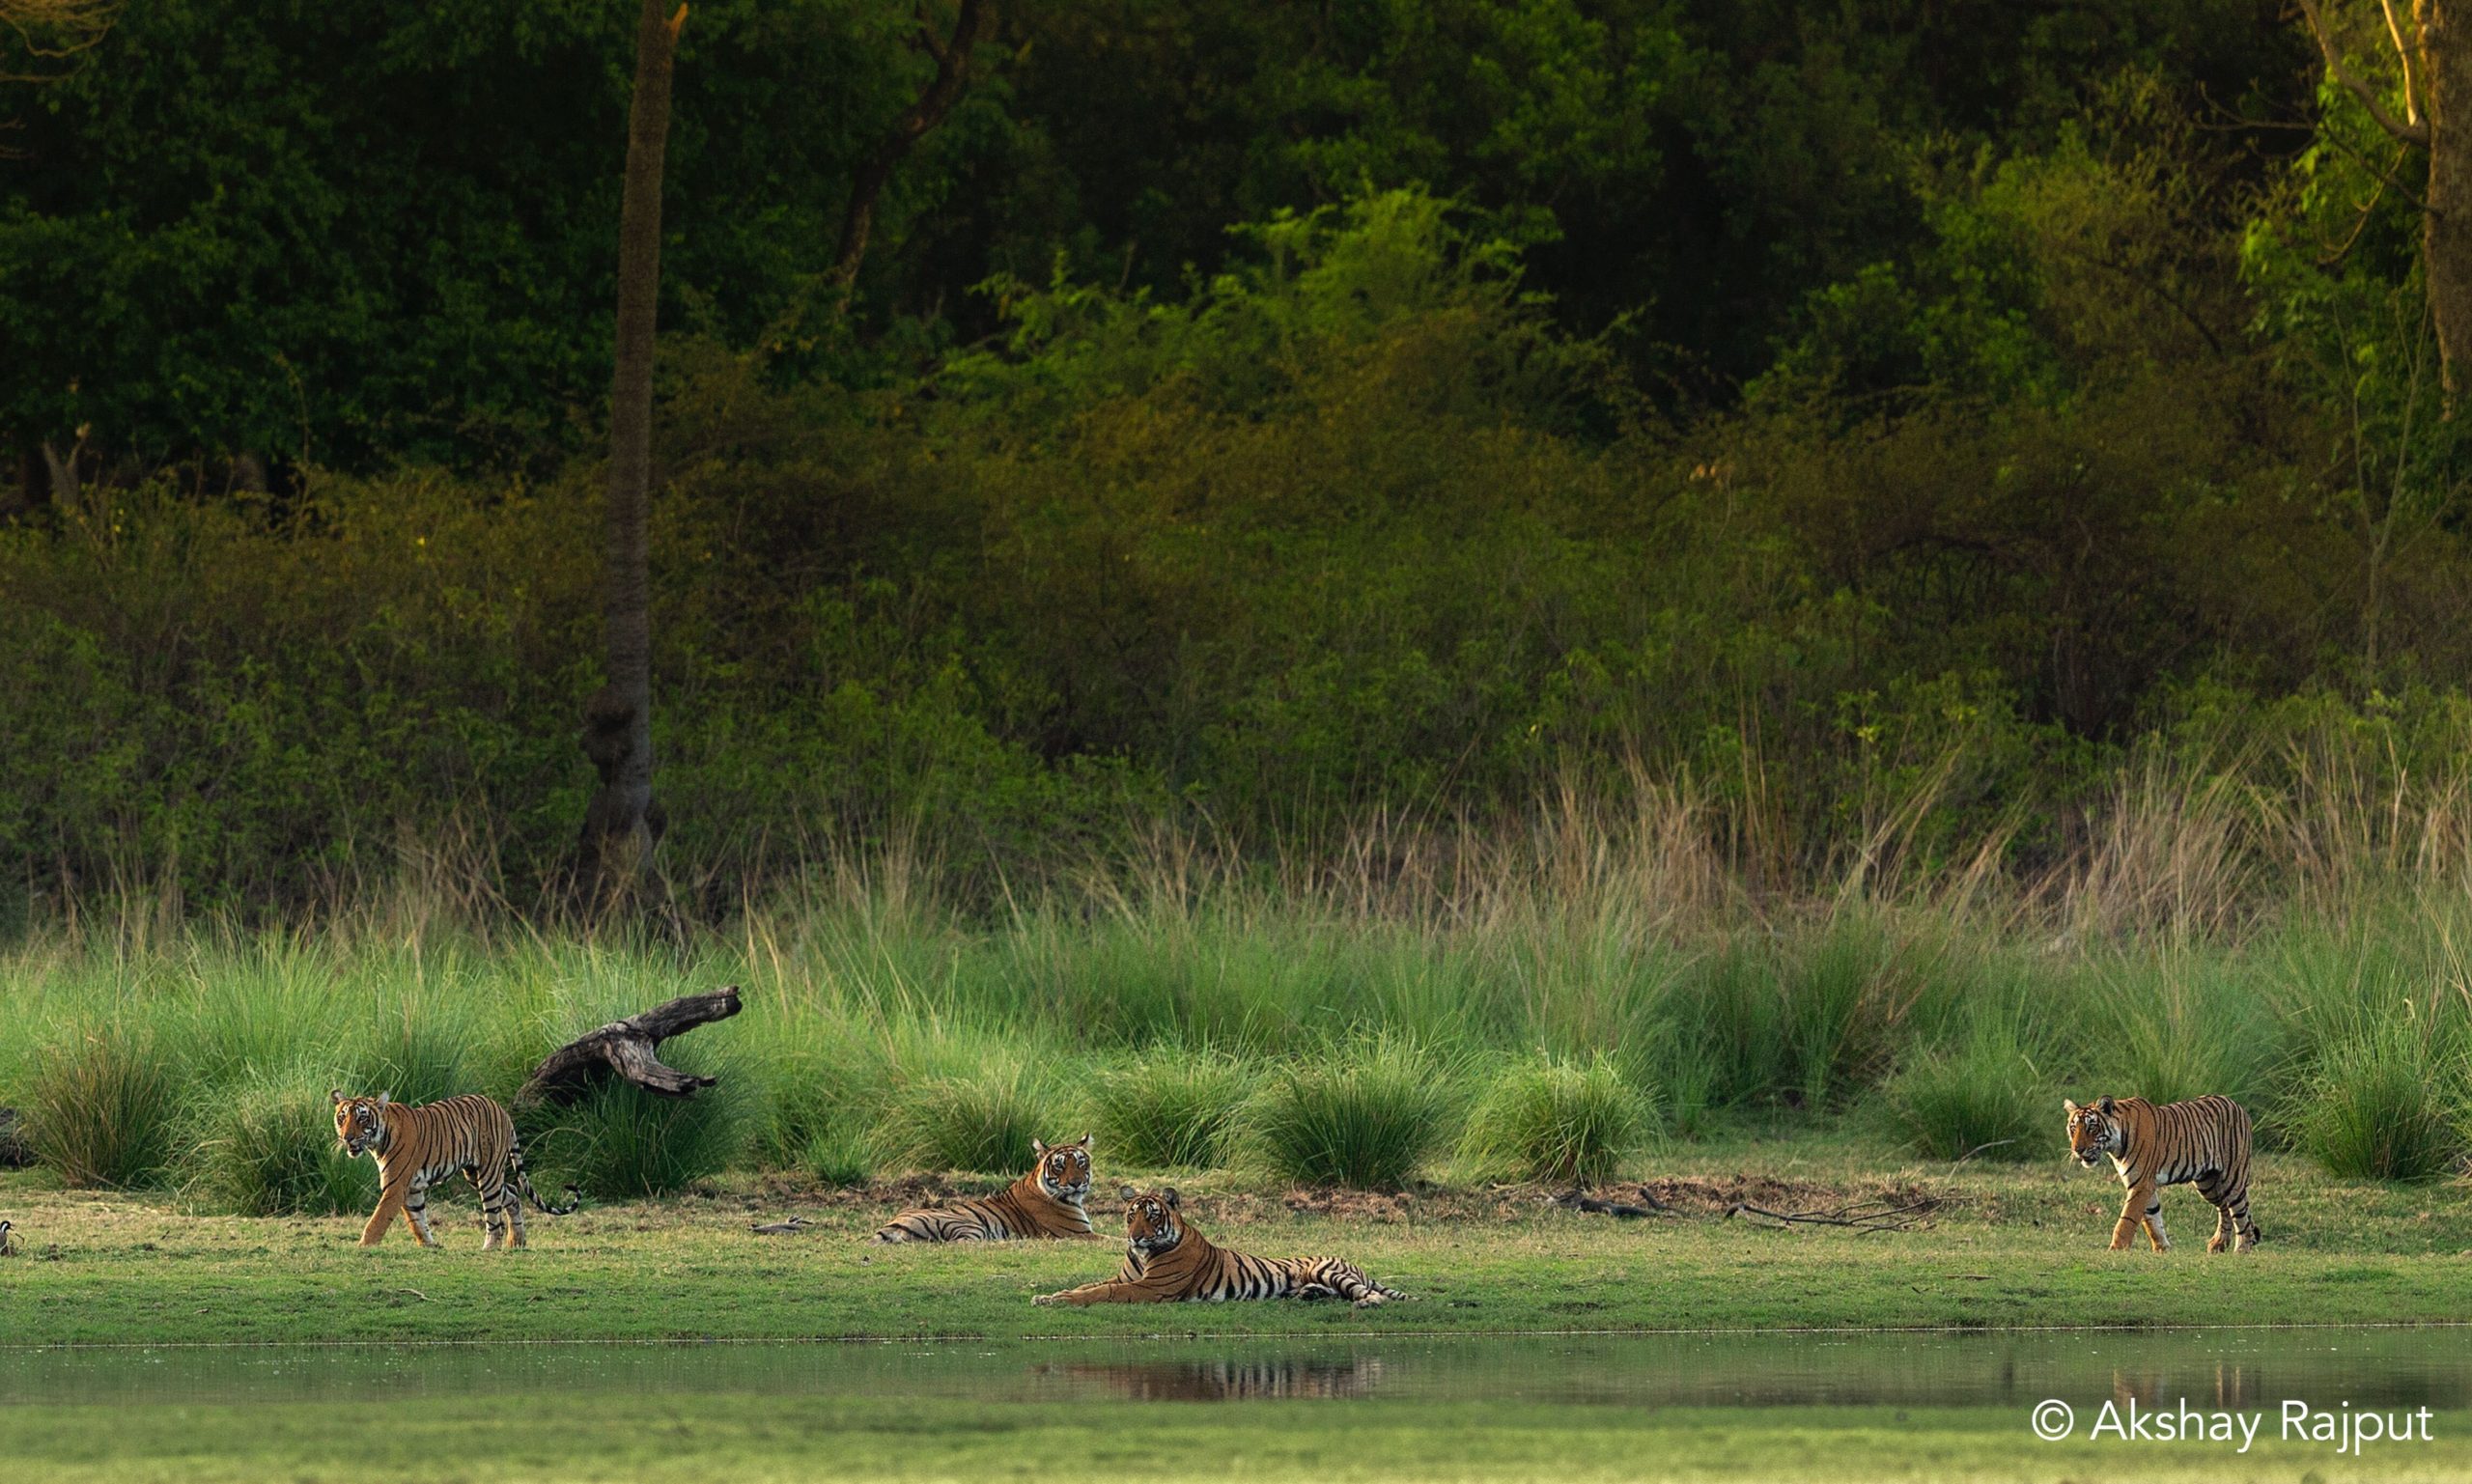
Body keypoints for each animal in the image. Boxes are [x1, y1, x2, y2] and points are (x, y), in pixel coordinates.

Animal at [331, 1090, 579, 1250]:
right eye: (342, 1118)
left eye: (362, 1118)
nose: (347, 1137)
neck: (377, 1142)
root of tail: (502, 1110)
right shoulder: (411, 1189)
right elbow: (417, 1220)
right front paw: (429, 1245)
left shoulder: (396, 1186)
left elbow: (378, 1219)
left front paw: (363, 1246)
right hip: (474, 1174)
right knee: (512, 1192)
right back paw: (516, 1241)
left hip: (488, 1174)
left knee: (493, 1213)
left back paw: (490, 1246)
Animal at [869, 1134, 1098, 1243]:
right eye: (1059, 1166)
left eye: (1081, 1163)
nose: (1076, 1183)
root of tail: (891, 1223)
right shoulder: (1078, 1234)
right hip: (969, 1226)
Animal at [1032, 1186, 1404, 1308]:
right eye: (1131, 1216)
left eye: (1152, 1216)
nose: (1136, 1237)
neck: (1144, 1255)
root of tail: (1355, 1263)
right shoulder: (1127, 1278)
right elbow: (1088, 1285)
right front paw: (1049, 1296)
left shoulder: (1150, 1288)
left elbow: (1101, 1292)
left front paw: (1060, 1300)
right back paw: (1307, 1295)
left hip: (1329, 1269)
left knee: (1368, 1294)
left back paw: (1367, 1303)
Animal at [2064, 1094, 2260, 1254]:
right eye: (2073, 1128)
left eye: (2091, 1127)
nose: (2077, 1150)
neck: (2115, 1145)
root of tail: (2239, 1106)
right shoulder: (2141, 1183)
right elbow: (2152, 1218)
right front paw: (2162, 1248)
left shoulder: (2141, 1184)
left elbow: (2127, 1218)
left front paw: (2116, 1248)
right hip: (2208, 1184)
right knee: (2225, 1209)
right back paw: (2219, 1244)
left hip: (2233, 1179)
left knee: (2240, 1213)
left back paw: (2242, 1248)